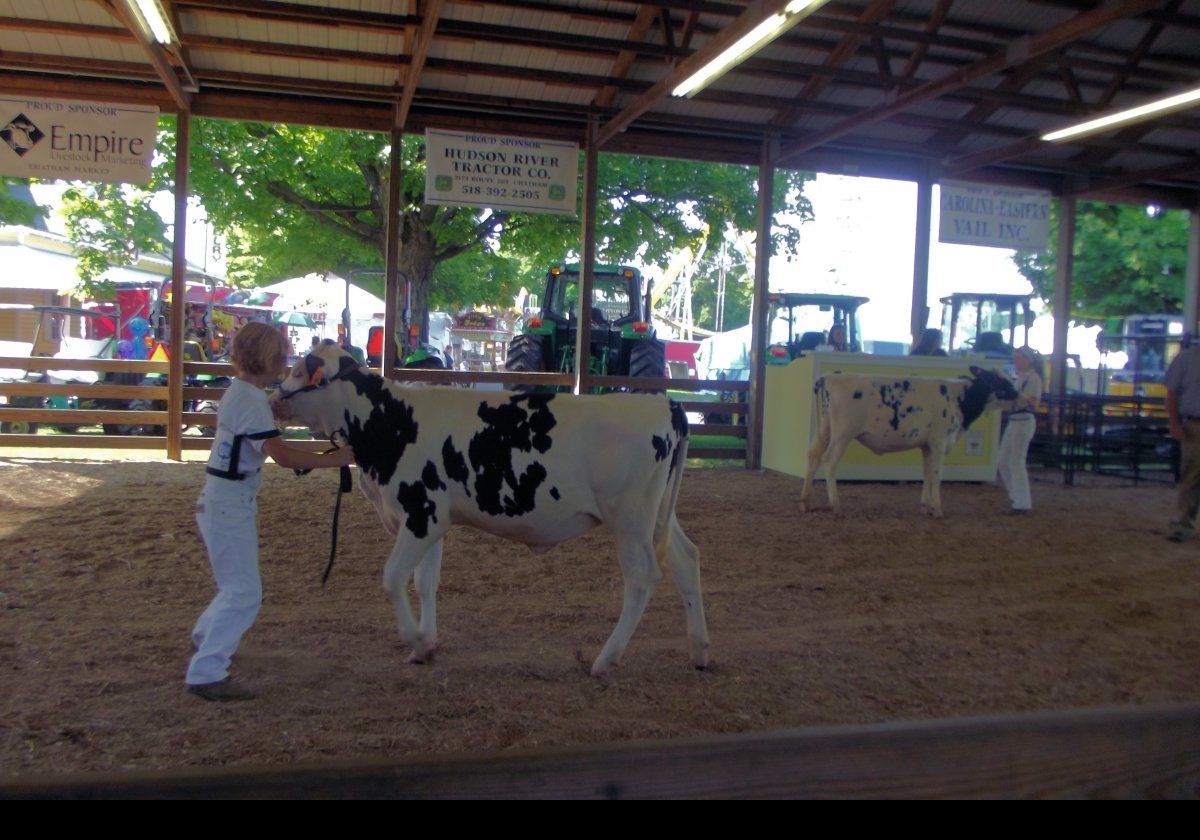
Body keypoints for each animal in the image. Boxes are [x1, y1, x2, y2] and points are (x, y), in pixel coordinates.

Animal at [274, 340, 700, 676]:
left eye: (297, 371)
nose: (274, 397)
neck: (392, 422)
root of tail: (664, 404)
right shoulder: (433, 521)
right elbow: (425, 581)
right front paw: (427, 644)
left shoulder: (420, 512)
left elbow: (393, 578)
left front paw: (417, 641)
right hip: (658, 515)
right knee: (685, 558)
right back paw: (702, 651)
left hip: (630, 520)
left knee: (643, 578)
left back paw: (605, 660)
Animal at [801, 367, 1017, 518]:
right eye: (998, 380)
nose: (1017, 394)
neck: (958, 398)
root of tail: (830, 377)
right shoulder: (939, 441)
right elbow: (937, 474)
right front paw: (938, 509)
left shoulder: (927, 445)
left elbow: (927, 473)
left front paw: (926, 507)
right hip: (843, 433)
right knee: (829, 461)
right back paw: (836, 505)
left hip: (827, 428)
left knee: (813, 456)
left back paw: (806, 502)